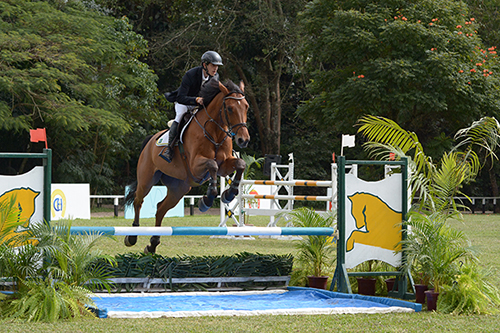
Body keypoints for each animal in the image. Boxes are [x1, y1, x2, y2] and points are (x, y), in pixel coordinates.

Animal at [125, 80, 250, 252]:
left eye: (246, 107)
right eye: (230, 108)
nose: (243, 140)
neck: (214, 132)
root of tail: (150, 141)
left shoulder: (225, 165)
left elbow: (240, 164)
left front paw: (229, 194)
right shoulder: (195, 166)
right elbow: (212, 165)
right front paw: (207, 200)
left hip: (179, 188)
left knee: (160, 208)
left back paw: (153, 244)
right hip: (146, 179)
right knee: (138, 201)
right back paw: (132, 236)